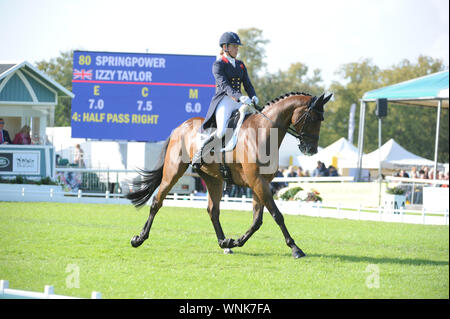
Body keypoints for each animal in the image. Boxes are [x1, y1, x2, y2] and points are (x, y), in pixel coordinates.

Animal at [125, 91, 330, 258]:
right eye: (313, 118)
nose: (311, 149)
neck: (262, 133)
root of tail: (180, 127)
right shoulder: (257, 181)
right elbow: (276, 215)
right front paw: (296, 248)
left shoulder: (260, 183)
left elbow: (257, 220)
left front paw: (235, 241)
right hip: (173, 171)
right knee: (157, 202)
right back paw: (139, 239)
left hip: (212, 179)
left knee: (213, 210)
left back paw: (224, 243)